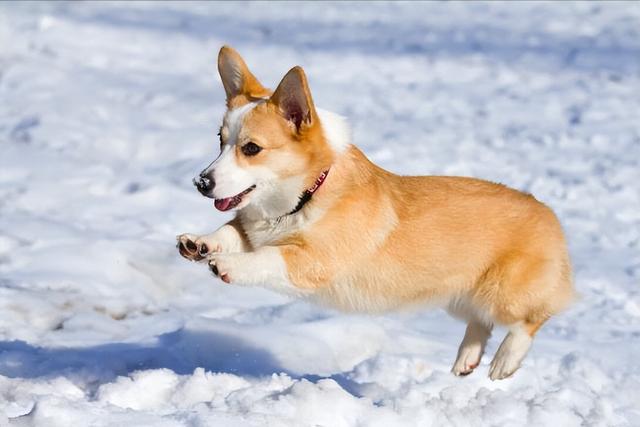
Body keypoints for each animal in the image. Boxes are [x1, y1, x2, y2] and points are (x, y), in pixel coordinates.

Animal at [176, 46, 576, 382]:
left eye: (252, 148)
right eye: (220, 141)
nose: (201, 182)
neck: (306, 194)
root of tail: (548, 213)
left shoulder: (313, 260)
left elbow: (267, 258)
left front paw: (228, 265)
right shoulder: (252, 228)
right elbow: (231, 232)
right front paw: (198, 244)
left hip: (503, 295)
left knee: (531, 318)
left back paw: (504, 362)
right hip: (460, 298)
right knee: (480, 324)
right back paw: (466, 360)